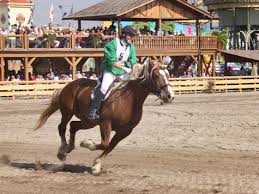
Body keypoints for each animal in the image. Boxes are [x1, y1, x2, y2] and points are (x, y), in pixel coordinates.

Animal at [34, 59, 175, 174]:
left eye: (168, 75)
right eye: (156, 76)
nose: (170, 96)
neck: (129, 99)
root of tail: (69, 85)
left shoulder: (125, 131)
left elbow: (110, 146)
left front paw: (96, 165)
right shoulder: (105, 123)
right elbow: (105, 144)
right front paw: (86, 143)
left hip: (88, 121)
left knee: (73, 126)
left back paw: (69, 147)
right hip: (67, 112)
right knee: (62, 127)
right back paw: (62, 151)